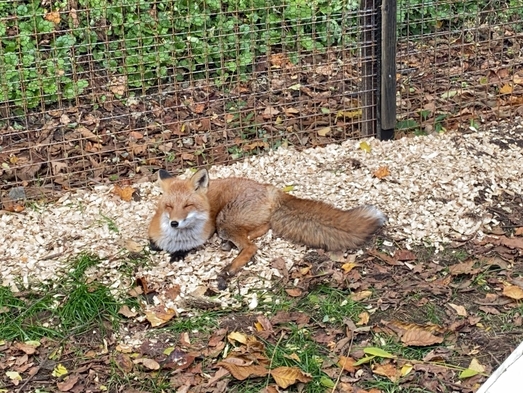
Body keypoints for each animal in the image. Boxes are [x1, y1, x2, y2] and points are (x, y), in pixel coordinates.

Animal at [149, 168, 386, 288]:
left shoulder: (204, 235)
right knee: (262, 229)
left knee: (251, 246)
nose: (174, 222)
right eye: (168, 207)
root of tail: (269, 189)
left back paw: (229, 269)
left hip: (224, 222)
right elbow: (155, 246)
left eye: (187, 206)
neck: (180, 238)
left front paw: (179, 255)